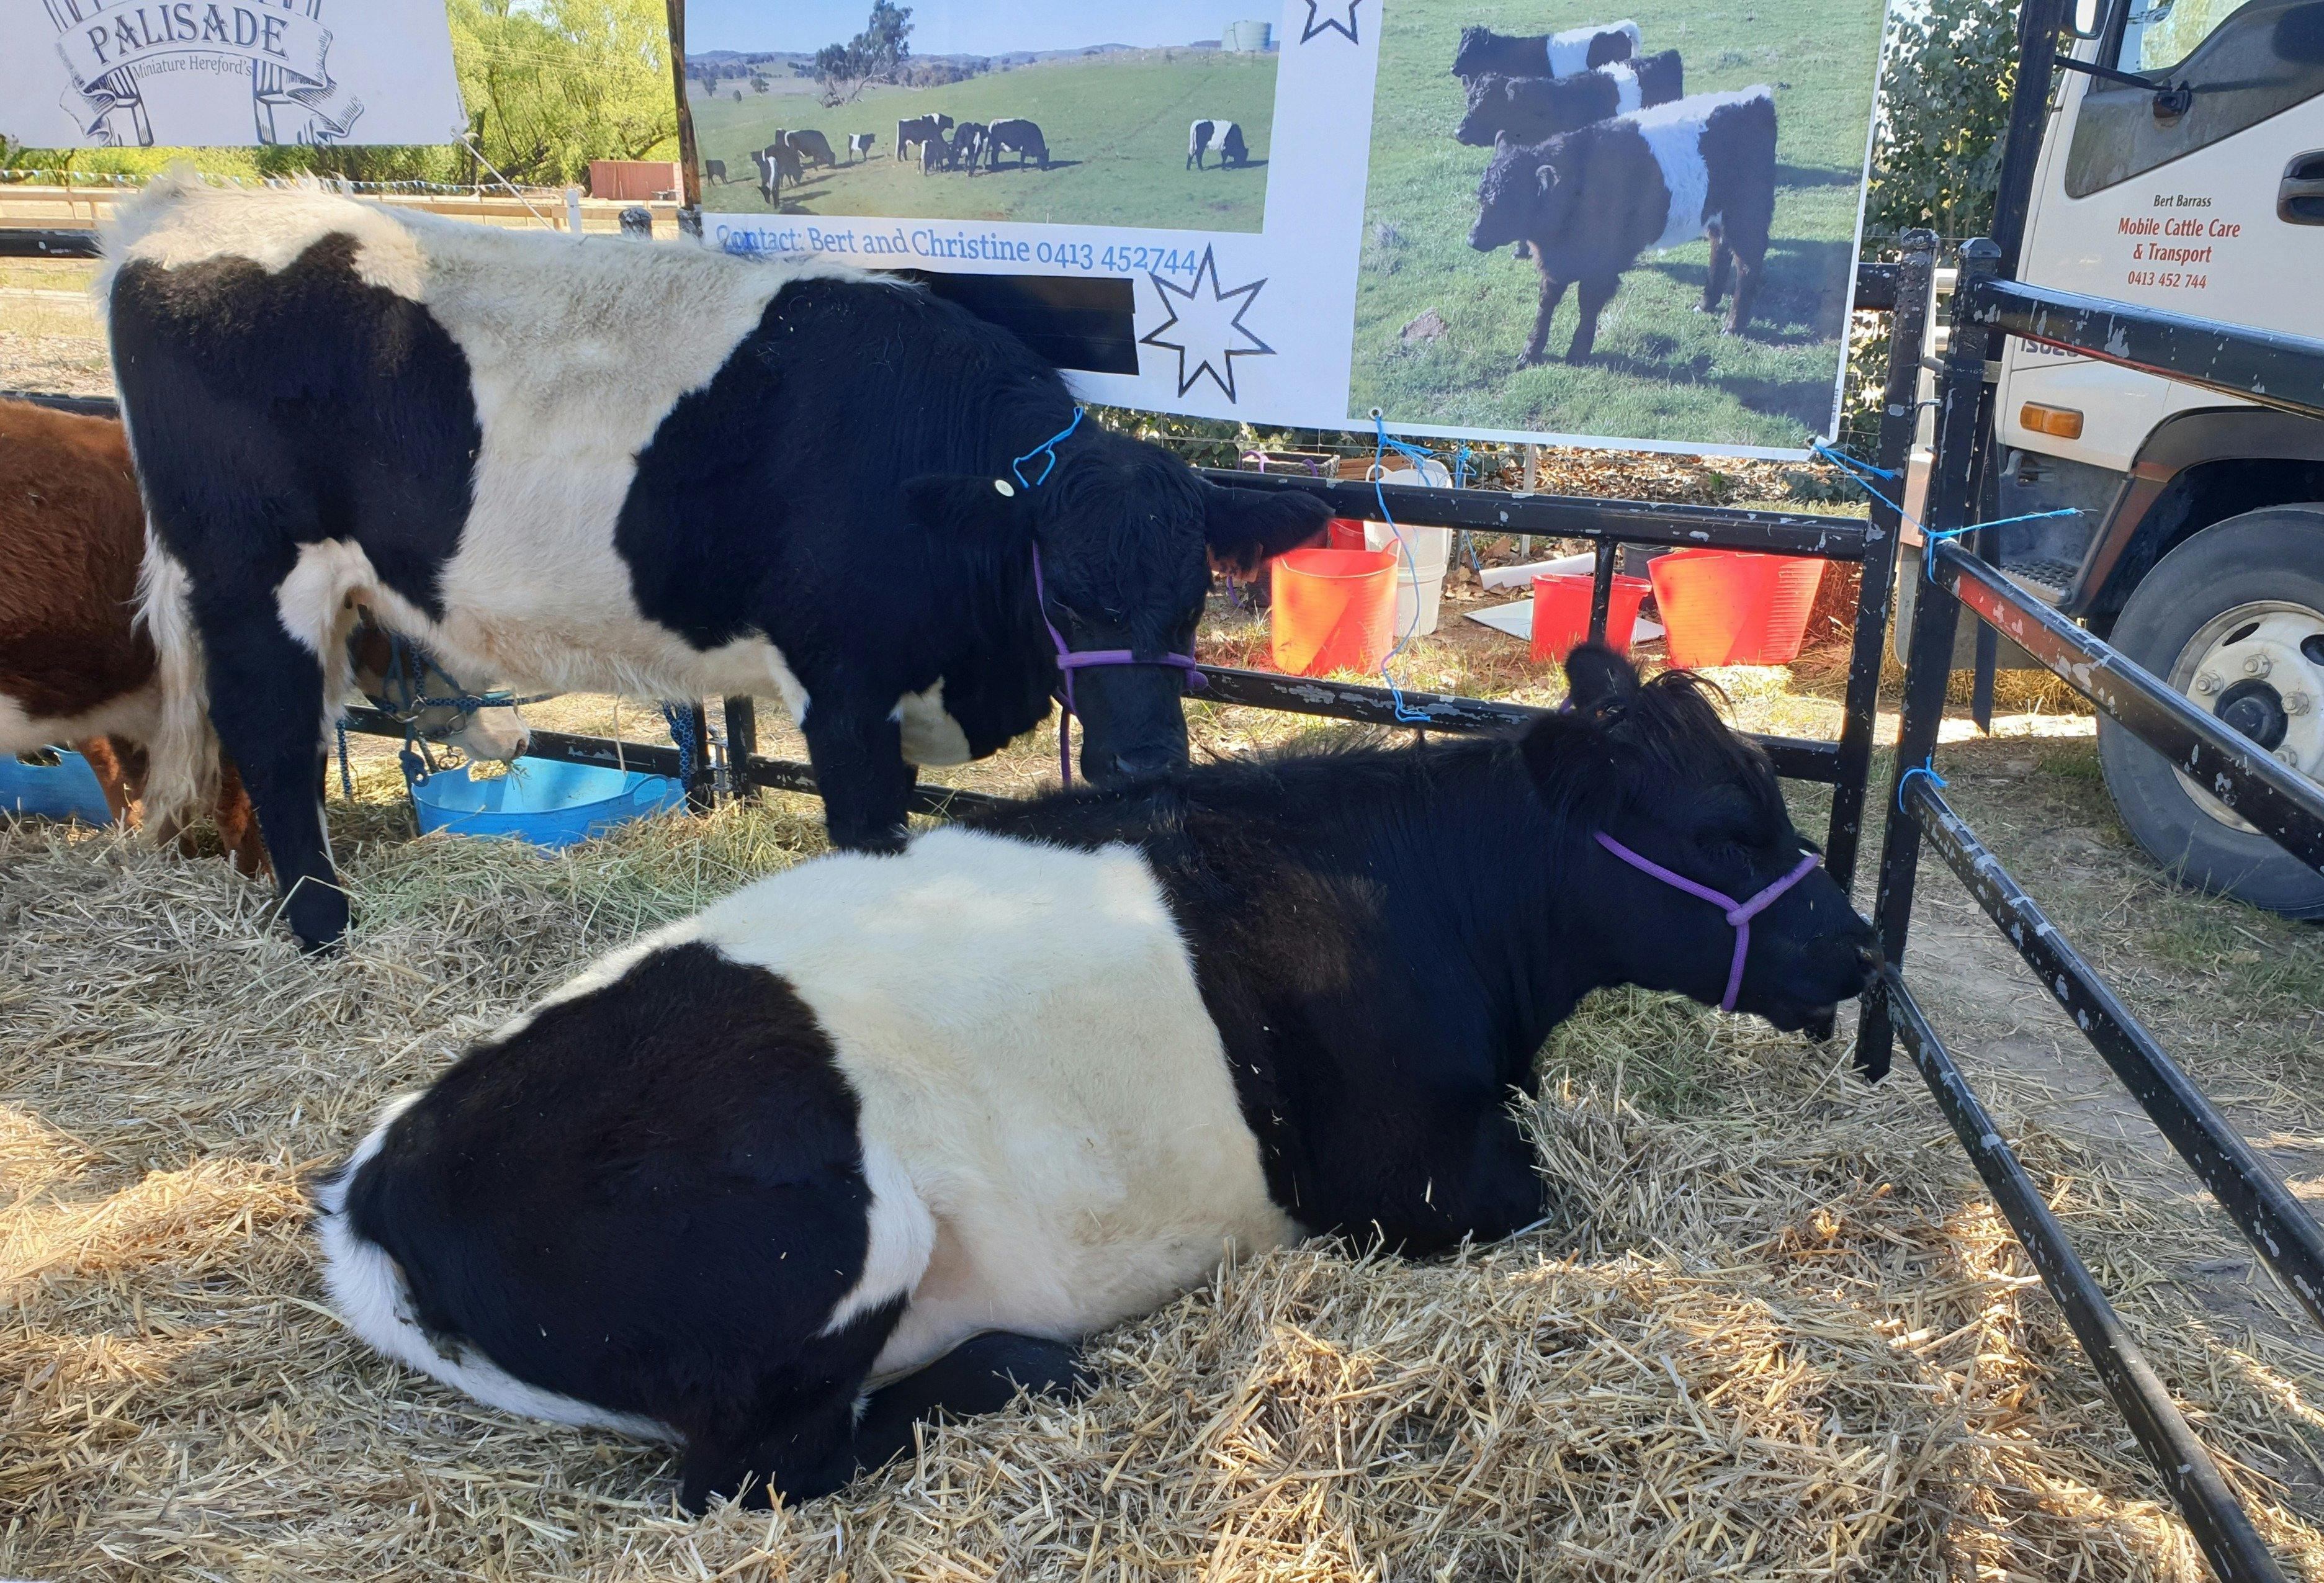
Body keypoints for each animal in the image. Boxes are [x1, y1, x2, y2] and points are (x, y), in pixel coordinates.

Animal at [104, 176, 1329, 951]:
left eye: (1196, 595)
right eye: (1063, 590)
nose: (1145, 760)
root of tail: (181, 206)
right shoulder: (843, 692)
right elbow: (868, 837)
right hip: (250, 571)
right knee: (270, 731)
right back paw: (322, 925)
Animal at [314, 645, 1883, 1511]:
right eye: (1722, 826)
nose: (1862, 943)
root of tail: (381, 1176)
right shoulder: (1421, 1178)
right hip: (841, 1233)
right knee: (747, 1471)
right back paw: (1024, 1362)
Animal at [1469, 87, 1777, 365]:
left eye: (1509, 201)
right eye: (1482, 195)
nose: (1473, 239)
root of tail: (1757, 96)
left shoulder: (1602, 263)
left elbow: (1588, 302)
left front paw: (1578, 354)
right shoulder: (1555, 260)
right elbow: (1546, 302)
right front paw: (1530, 353)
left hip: (1749, 213)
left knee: (1747, 264)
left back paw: (1732, 327)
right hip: (1717, 214)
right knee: (1720, 248)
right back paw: (1706, 304)